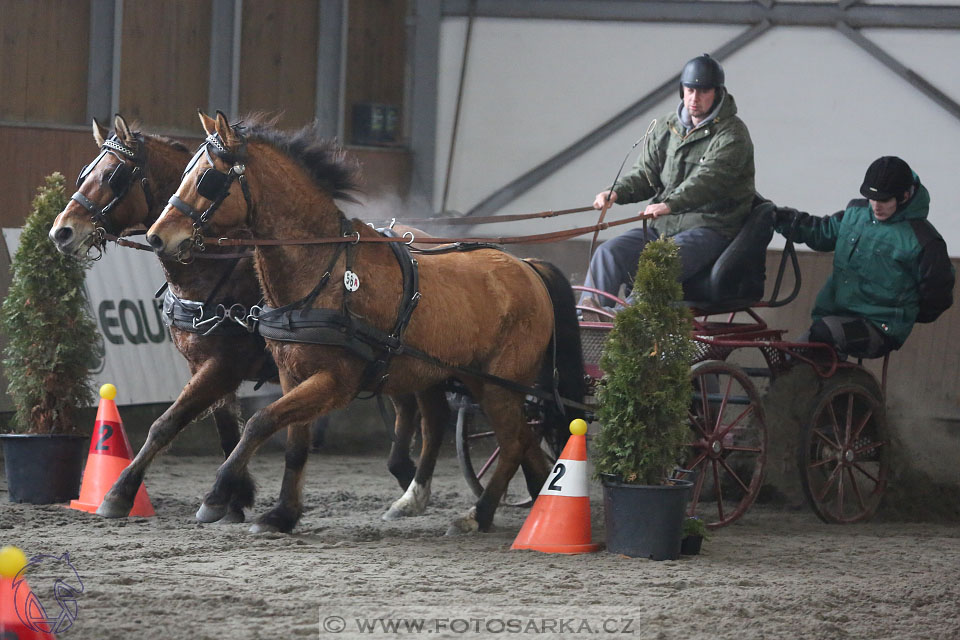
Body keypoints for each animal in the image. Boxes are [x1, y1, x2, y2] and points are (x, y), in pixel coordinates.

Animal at [47, 115, 432, 524]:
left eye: (113, 176)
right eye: (85, 173)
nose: (61, 231)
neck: (218, 270)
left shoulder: (224, 365)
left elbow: (166, 423)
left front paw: (121, 493)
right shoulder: (205, 365)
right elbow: (226, 428)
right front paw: (234, 499)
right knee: (408, 406)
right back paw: (404, 473)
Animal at [142, 111, 584, 536]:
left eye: (208, 178)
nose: (157, 237)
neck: (325, 272)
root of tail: (528, 266)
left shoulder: (335, 381)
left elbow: (259, 422)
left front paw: (217, 496)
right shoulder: (290, 373)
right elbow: (293, 445)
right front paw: (282, 515)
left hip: (500, 384)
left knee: (511, 442)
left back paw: (479, 514)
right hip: (472, 378)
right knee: (518, 439)